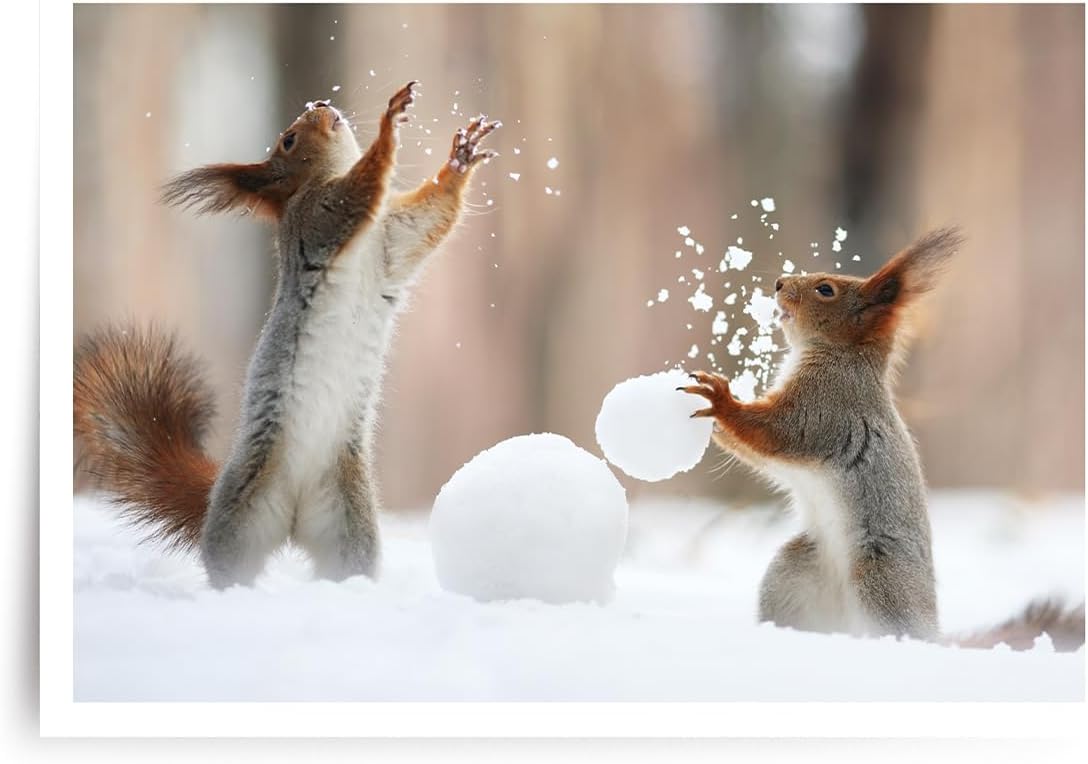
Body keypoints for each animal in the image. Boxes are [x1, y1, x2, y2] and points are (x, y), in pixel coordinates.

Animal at [74, 81, 500, 589]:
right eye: (288, 141)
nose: (319, 104)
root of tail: (295, 516)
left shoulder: (393, 243)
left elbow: (431, 216)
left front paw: (461, 156)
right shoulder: (319, 218)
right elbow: (361, 188)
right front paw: (389, 124)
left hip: (348, 521)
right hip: (243, 514)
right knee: (230, 563)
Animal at [682, 228, 1085, 651]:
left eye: (826, 289)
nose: (778, 283)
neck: (846, 355)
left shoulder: (825, 407)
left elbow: (777, 432)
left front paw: (720, 401)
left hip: (880, 576)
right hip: (793, 570)